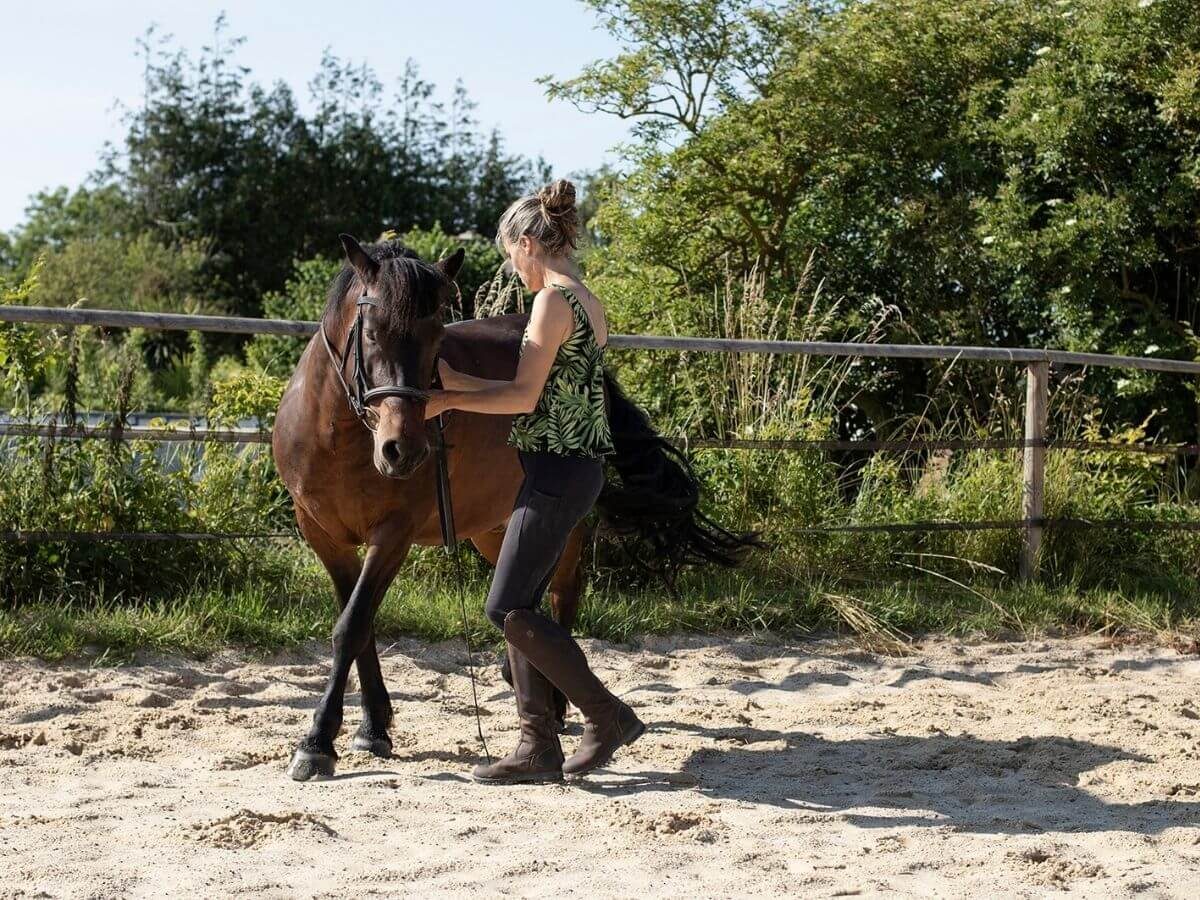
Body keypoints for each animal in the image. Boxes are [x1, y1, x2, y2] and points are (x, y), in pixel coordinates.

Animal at [272, 234, 755, 780]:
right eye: (371, 334)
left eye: (437, 338)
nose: (405, 451)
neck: (337, 436)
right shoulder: (323, 536)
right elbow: (360, 626)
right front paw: (372, 728)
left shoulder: (392, 536)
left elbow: (351, 626)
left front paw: (317, 742)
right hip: (492, 527)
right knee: (527, 598)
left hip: (563, 531)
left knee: (560, 595)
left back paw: (564, 708)